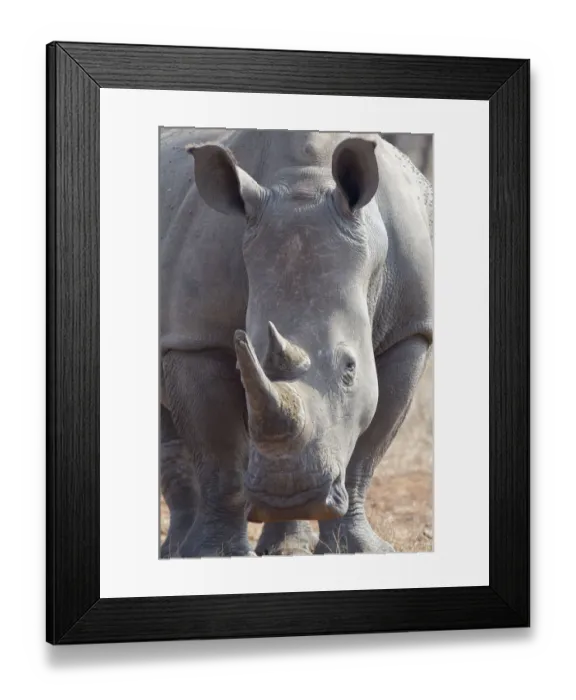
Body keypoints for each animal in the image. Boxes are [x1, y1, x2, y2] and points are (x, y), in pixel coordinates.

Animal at [159, 128, 433, 558]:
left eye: (349, 369)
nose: (291, 496)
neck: (306, 183)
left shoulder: (410, 330)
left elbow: (367, 449)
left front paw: (359, 550)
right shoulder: (193, 339)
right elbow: (219, 453)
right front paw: (216, 555)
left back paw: (287, 548)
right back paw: (178, 552)